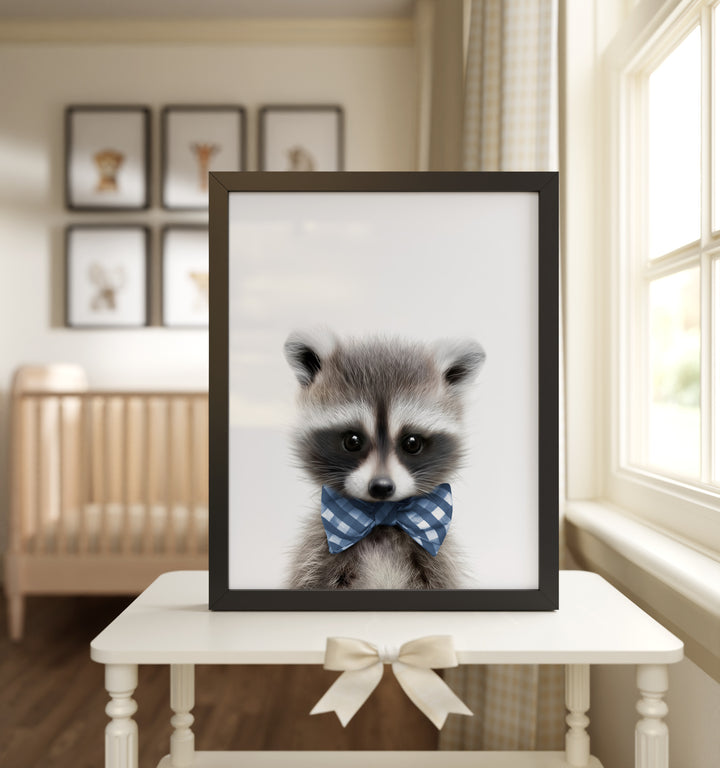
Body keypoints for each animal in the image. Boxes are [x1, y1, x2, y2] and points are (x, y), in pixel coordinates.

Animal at [283, 330, 485, 590]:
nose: (381, 487)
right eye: (352, 441)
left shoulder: (437, 559)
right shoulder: (317, 552)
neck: (382, 523)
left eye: (412, 443)